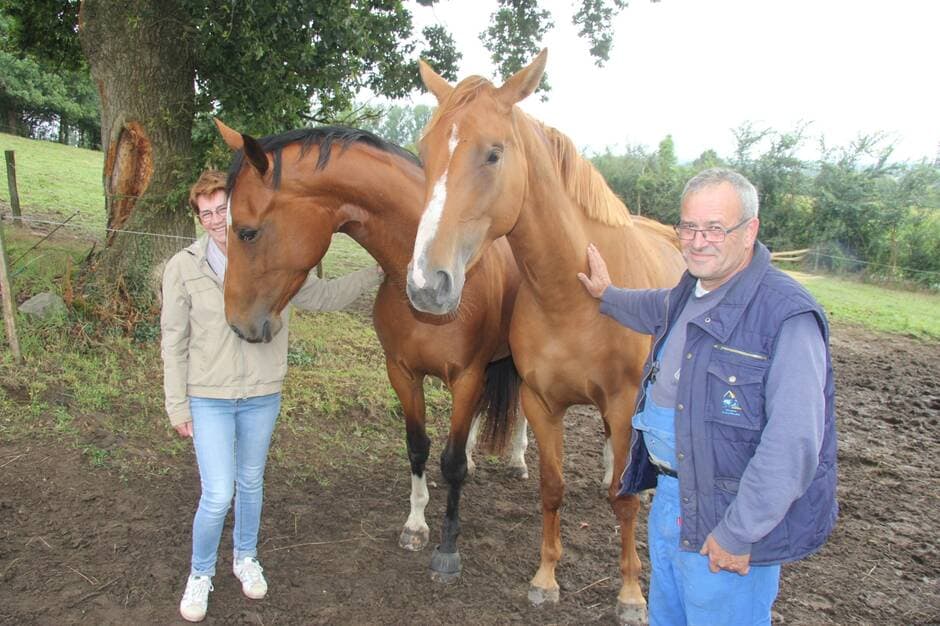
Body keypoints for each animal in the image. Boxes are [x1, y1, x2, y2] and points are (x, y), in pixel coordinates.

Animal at [216, 118, 532, 580]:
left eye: (247, 231)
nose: (239, 324)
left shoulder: (467, 376)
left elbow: (450, 463)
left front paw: (448, 548)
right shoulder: (402, 372)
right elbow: (418, 446)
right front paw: (415, 525)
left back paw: (520, 460)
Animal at [404, 51, 684, 620]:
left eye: (493, 153)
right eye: (424, 151)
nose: (426, 284)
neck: (574, 296)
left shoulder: (623, 400)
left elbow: (622, 501)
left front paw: (630, 595)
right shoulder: (541, 401)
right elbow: (553, 489)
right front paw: (546, 578)